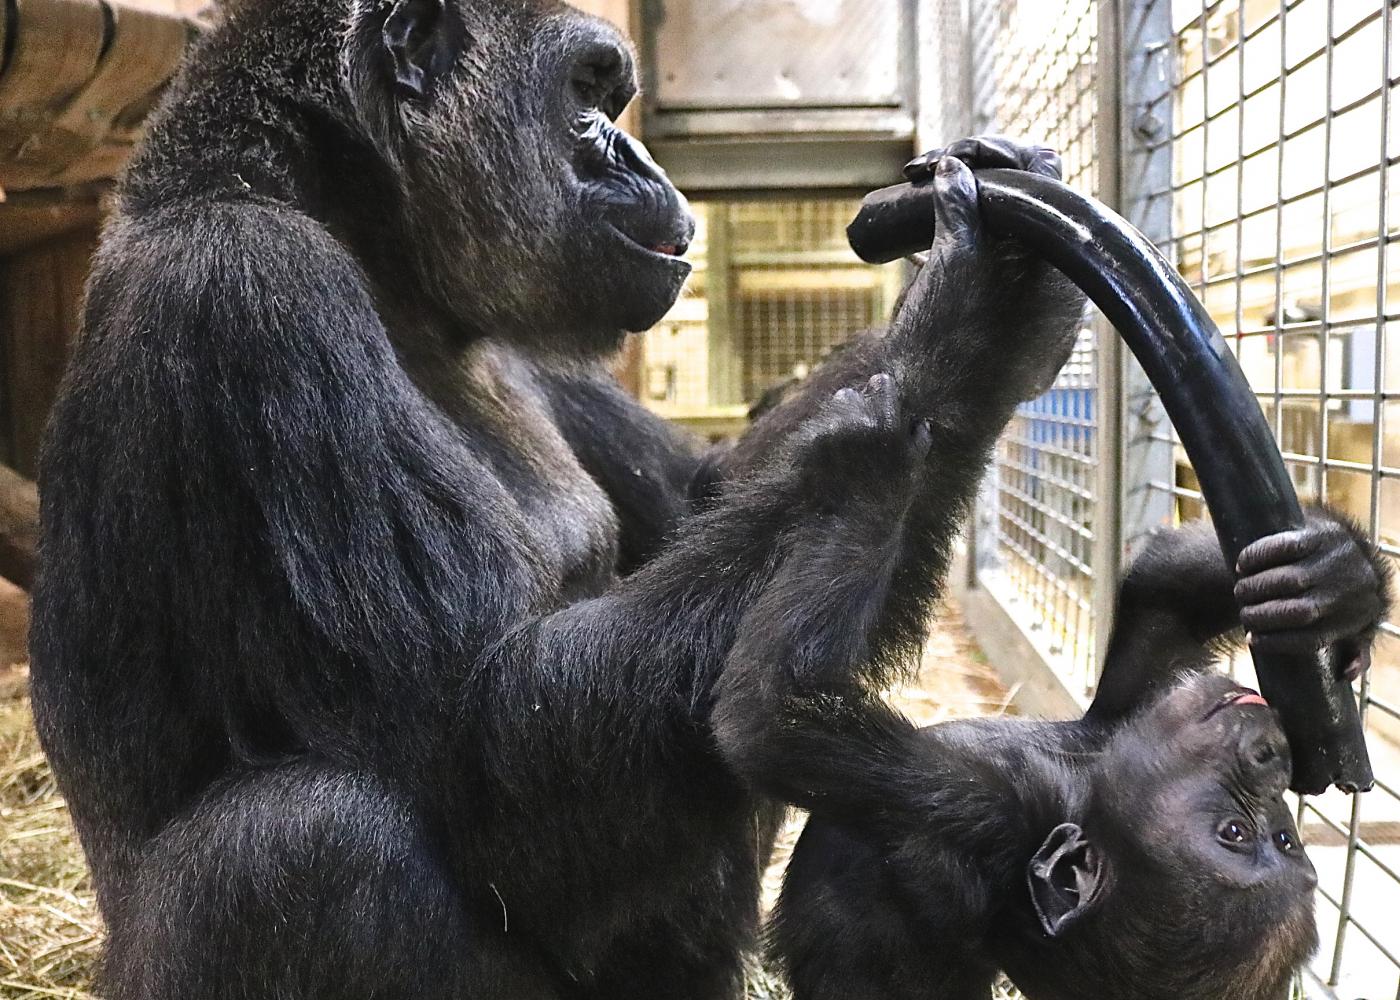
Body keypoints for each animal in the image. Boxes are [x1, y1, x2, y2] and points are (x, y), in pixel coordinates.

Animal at [30, 3, 1080, 991]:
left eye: (615, 96)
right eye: (587, 90)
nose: (639, 157)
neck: (353, 223)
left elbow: (710, 497)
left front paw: (1006, 313)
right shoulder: (249, 289)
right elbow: (489, 745)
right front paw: (959, 329)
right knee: (303, 847)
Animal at [778, 509, 1388, 991]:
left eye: (1234, 833)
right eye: (1282, 838)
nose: (1273, 763)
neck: (1080, 784)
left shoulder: (978, 811)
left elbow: (788, 715)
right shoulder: (1139, 704)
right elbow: (1163, 600)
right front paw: (1338, 583)